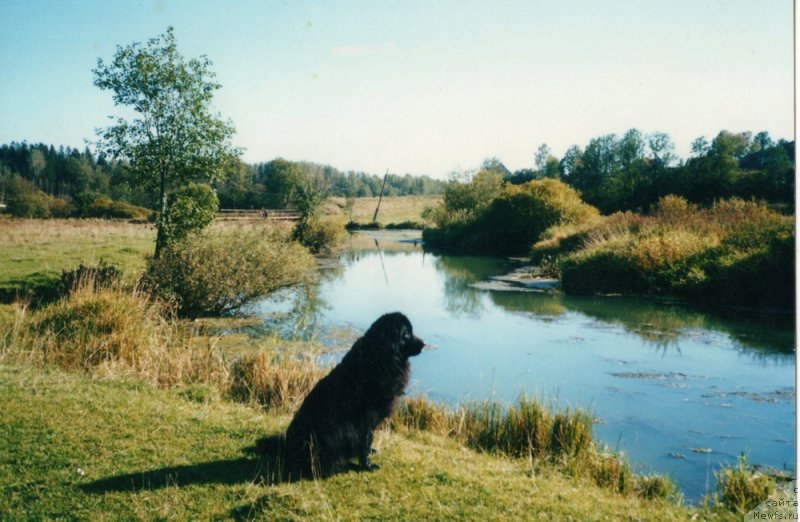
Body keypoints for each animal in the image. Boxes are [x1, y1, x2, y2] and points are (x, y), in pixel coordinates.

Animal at [282, 310, 424, 478]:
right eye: (407, 334)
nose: (424, 344)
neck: (380, 356)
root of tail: (288, 448)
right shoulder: (366, 417)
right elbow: (366, 440)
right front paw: (367, 465)